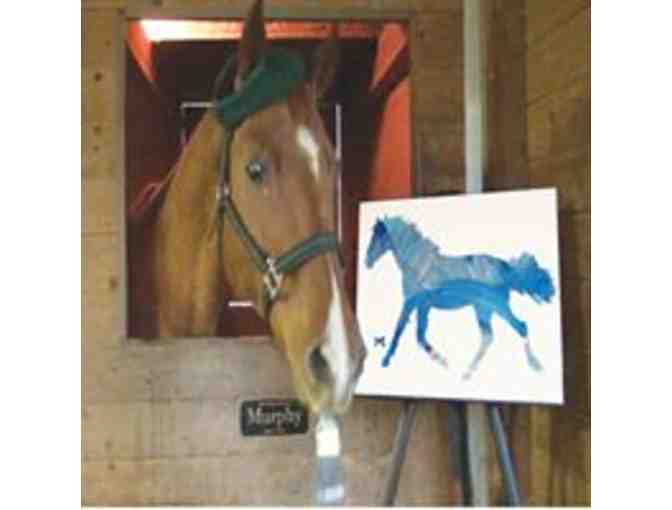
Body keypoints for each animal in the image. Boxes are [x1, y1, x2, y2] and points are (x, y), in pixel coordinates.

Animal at [364, 216, 555, 379]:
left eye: (378, 236)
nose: (367, 262)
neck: (419, 266)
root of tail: (504, 268)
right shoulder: (422, 305)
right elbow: (419, 334)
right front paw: (441, 361)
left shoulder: (413, 302)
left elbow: (400, 328)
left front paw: (386, 360)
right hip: (483, 309)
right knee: (488, 337)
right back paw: (467, 373)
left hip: (496, 306)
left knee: (521, 327)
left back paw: (536, 366)